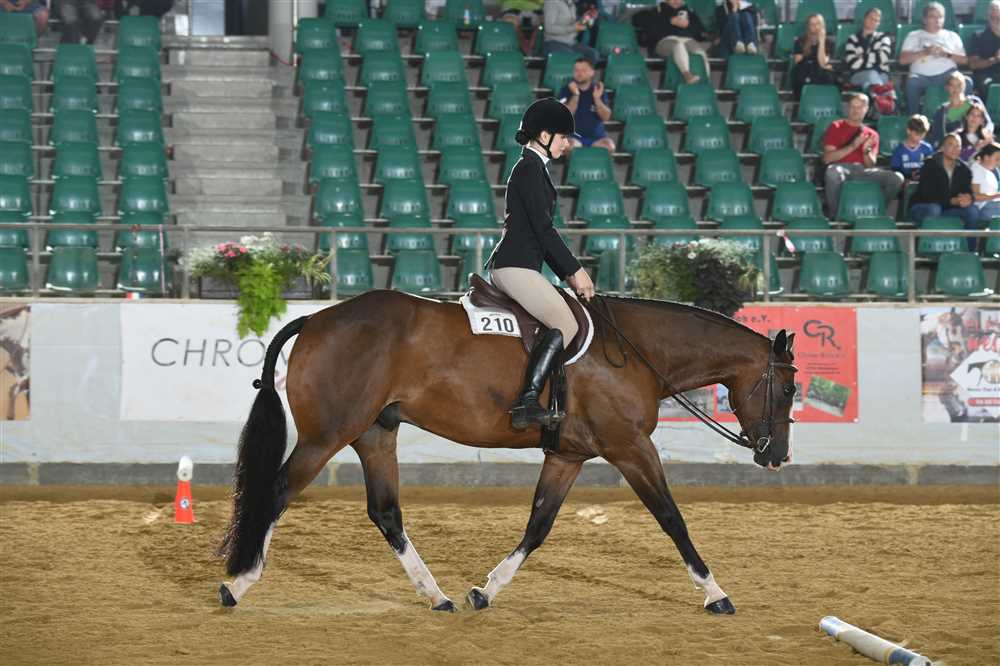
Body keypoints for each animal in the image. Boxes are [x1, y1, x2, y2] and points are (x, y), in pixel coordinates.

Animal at [218, 289, 797, 614]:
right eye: (790, 388)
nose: (776, 456)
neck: (637, 351)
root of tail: (316, 319)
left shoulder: (568, 456)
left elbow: (538, 526)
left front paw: (486, 591)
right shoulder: (630, 446)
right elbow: (672, 519)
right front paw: (715, 593)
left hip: (375, 433)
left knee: (385, 513)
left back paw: (438, 596)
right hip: (328, 435)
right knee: (277, 491)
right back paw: (240, 582)